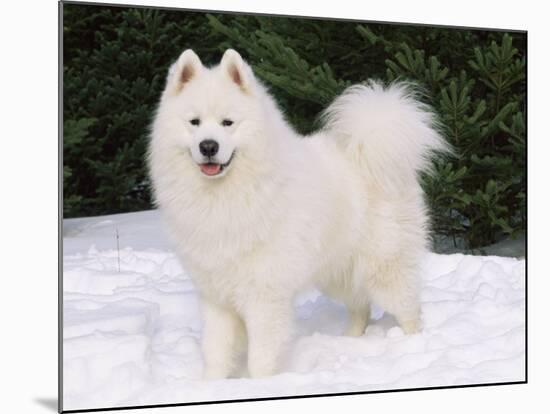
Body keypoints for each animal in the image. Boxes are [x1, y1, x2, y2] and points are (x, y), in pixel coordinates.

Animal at [149, 48, 450, 378]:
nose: (208, 146)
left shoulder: (265, 296)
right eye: (194, 122)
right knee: (360, 306)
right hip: (338, 273)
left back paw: (412, 343)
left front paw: (260, 383)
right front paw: (212, 384)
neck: (224, 195)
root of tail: (368, 148)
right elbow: (215, 352)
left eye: (228, 123)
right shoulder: (216, 297)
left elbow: (261, 356)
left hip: (384, 269)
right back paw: (349, 341)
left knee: (409, 309)